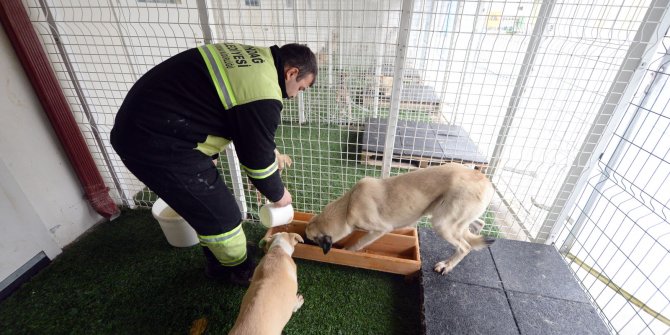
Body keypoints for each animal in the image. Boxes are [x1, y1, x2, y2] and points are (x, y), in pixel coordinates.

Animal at [308, 163, 496, 276]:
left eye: (312, 240)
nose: (306, 244)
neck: (347, 205)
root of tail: (486, 180)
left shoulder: (380, 229)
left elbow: (358, 243)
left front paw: (348, 250)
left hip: (442, 223)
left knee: (465, 246)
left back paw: (446, 265)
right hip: (453, 219)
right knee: (477, 226)